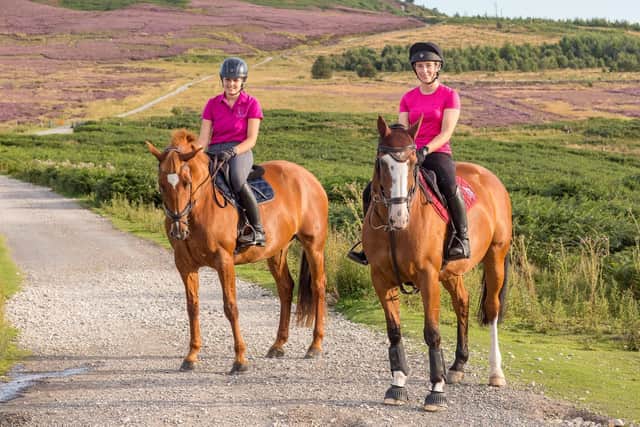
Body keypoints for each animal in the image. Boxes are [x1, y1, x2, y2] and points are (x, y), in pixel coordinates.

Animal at [147, 129, 328, 374]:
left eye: (186, 182)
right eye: (161, 185)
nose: (178, 229)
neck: (201, 207)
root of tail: (308, 178)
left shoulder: (224, 261)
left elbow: (230, 307)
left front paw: (240, 359)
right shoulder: (185, 265)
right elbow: (192, 307)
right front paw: (191, 356)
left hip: (313, 246)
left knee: (318, 287)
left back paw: (315, 345)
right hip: (277, 251)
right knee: (285, 288)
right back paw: (278, 345)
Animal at [362, 116, 512, 411]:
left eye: (413, 163)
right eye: (381, 163)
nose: (398, 216)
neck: (398, 232)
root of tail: (490, 177)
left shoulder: (428, 276)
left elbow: (432, 333)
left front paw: (436, 391)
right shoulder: (381, 277)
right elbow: (394, 331)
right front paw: (397, 386)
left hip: (495, 257)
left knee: (492, 310)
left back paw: (495, 372)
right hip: (452, 272)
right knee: (462, 303)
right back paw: (457, 366)